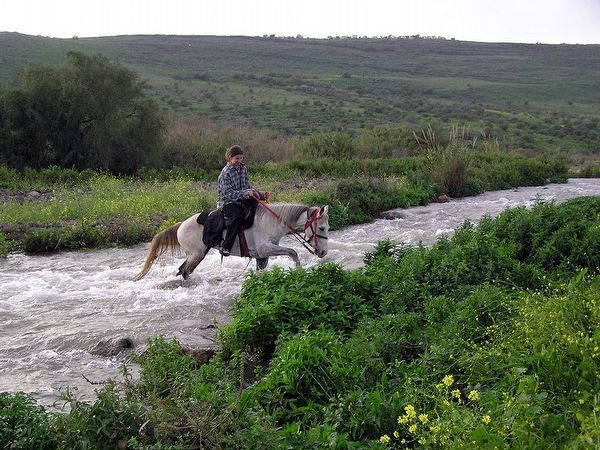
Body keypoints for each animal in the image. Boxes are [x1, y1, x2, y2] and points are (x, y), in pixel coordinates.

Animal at [134, 205, 330, 282]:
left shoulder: (262, 256)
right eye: (321, 228)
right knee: (184, 271)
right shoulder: (265, 249)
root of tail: (180, 225)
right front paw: (299, 271)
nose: (323, 253)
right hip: (197, 255)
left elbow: (261, 270)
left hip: (194, 255)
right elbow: (292, 252)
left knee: (183, 270)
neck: (271, 222)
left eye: (328, 227)